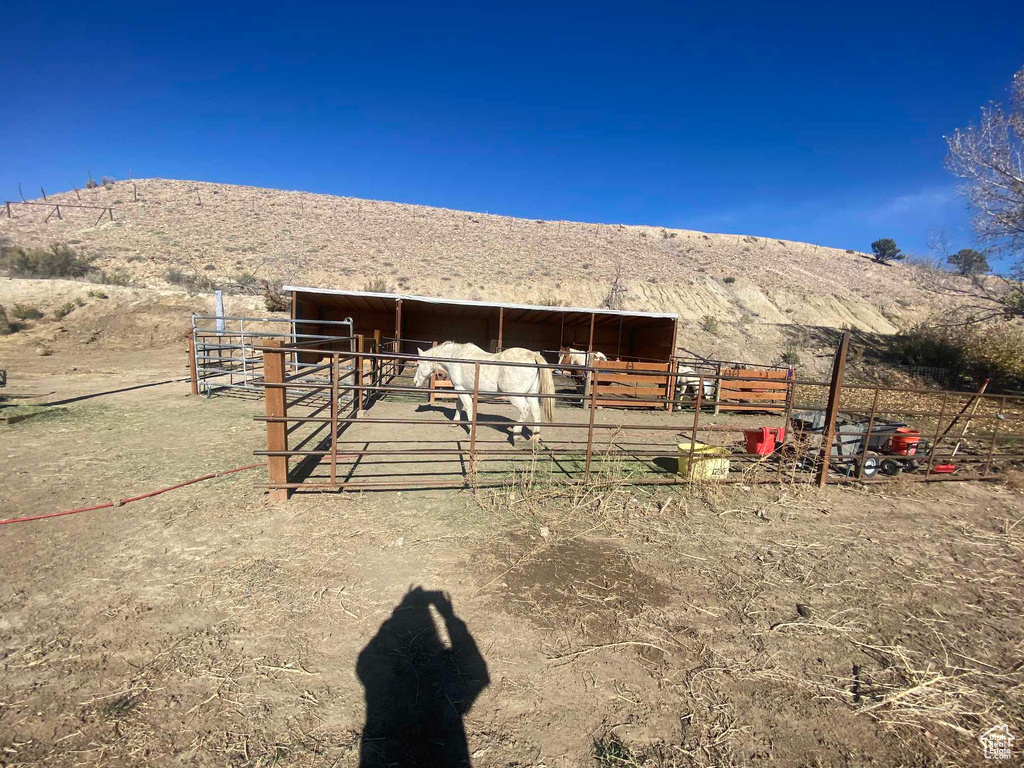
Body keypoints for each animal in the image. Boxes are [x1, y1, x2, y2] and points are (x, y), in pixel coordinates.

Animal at [411, 344, 557, 444]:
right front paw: (455, 422)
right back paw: (535, 437)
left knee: (525, 410)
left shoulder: (460, 388)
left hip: (516, 396)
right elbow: (459, 405)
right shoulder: (464, 389)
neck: (456, 357)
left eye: (418, 364)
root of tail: (532, 355)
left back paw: (516, 433)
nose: (415, 382)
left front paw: (471, 432)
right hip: (531, 394)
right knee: (536, 412)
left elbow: (468, 407)